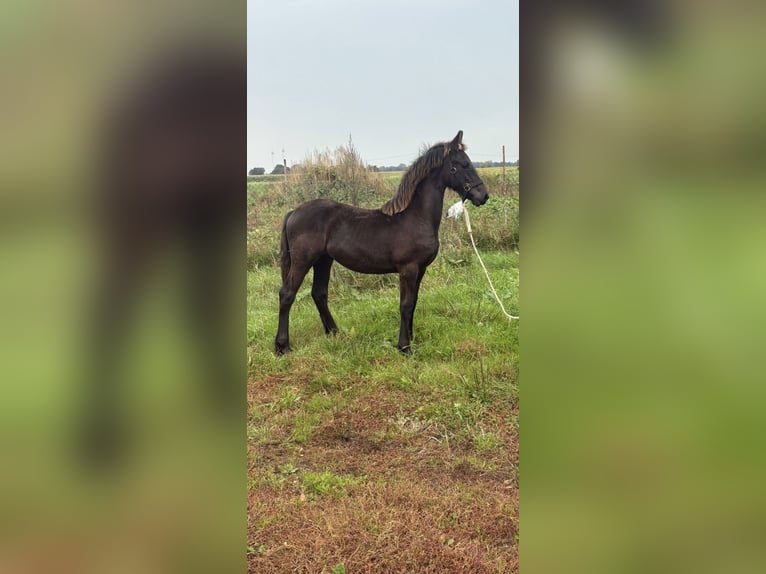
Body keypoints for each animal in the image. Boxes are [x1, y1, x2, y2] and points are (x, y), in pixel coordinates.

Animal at [275, 130, 489, 355]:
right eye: (462, 165)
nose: (483, 196)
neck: (416, 217)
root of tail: (293, 212)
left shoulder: (420, 270)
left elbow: (413, 303)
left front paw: (411, 338)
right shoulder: (408, 269)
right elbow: (405, 305)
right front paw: (404, 346)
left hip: (323, 260)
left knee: (319, 293)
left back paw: (334, 333)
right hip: (303, 260)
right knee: (287, 294)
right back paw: (283, 346)